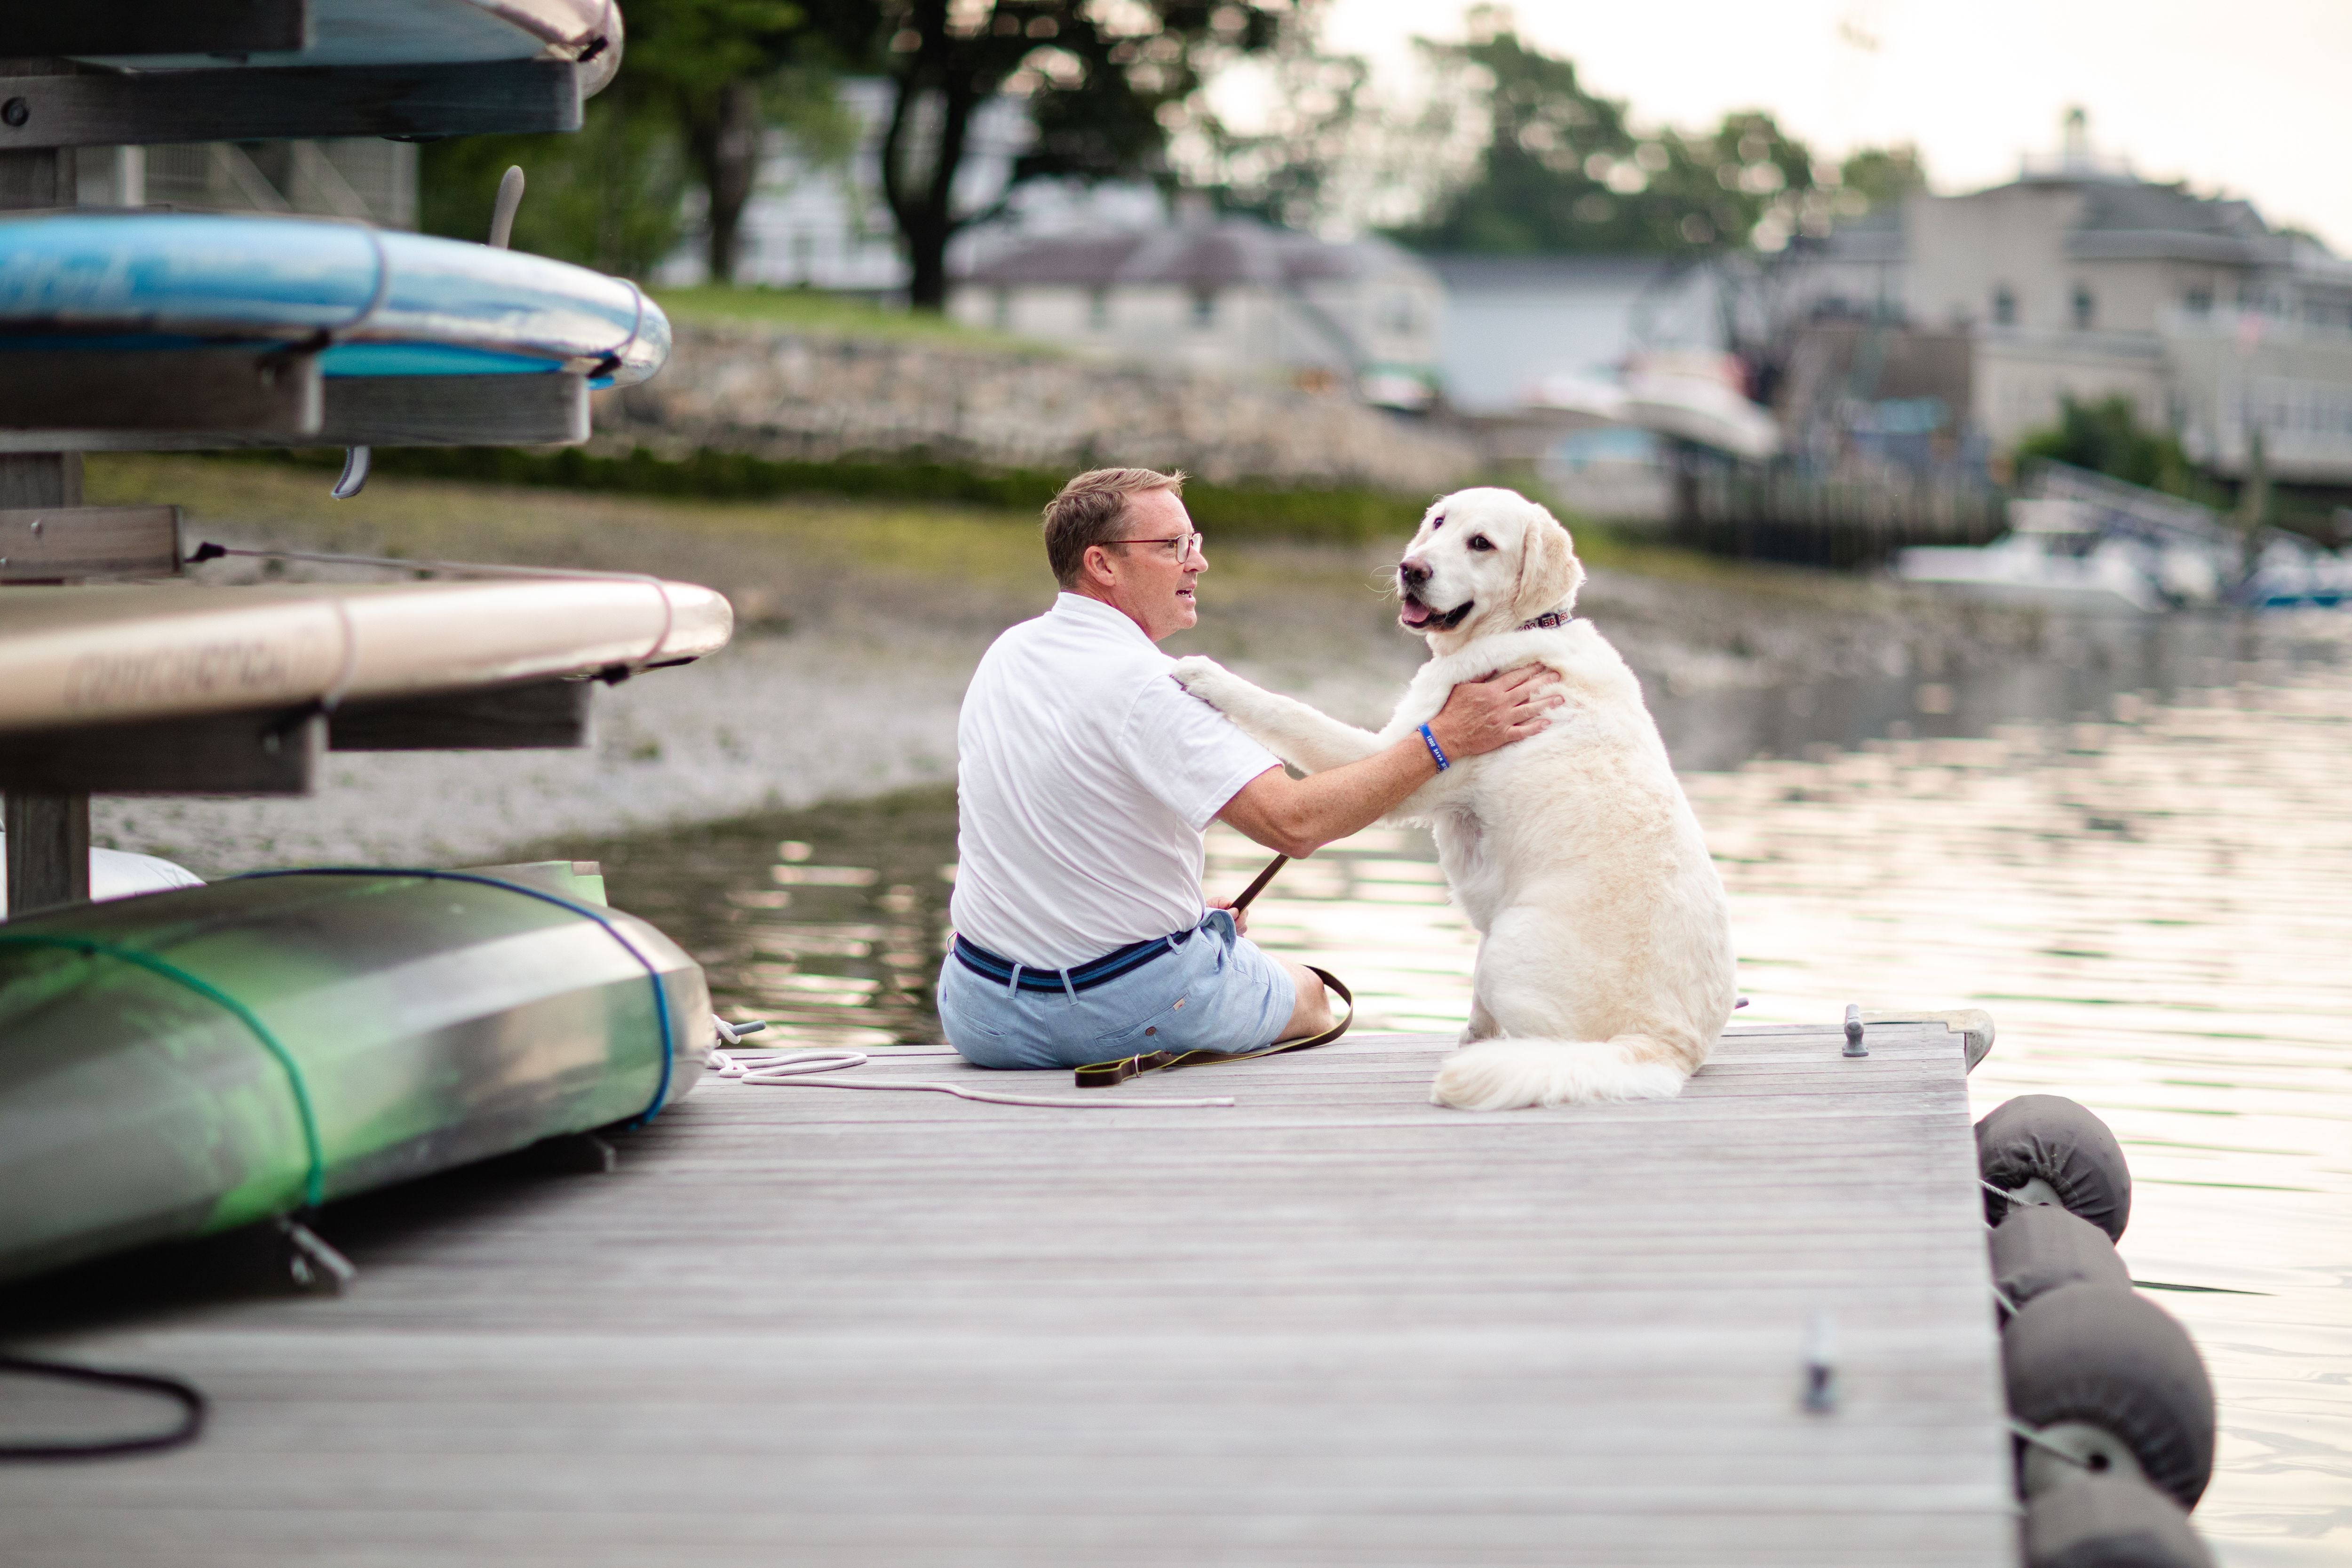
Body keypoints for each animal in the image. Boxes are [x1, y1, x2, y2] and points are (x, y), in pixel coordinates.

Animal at [1171, 484, 1740, 1109]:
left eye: (1481, 544)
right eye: (1439, 523)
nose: (1411, 569)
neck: (1520, 628)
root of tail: (1667, 1046)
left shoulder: (1382, 752)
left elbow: (1286, 709)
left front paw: (1205, 675)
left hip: (1506, 949)